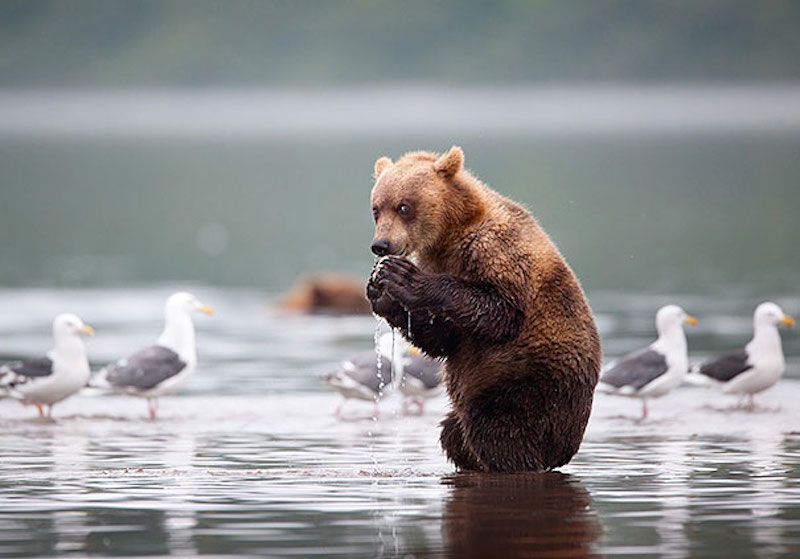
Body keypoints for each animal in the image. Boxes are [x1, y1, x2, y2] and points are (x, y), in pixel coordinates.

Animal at [366, 146, 601, 473]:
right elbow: (444, 337)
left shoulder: (495, 250)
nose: (381, 245)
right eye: (376, 208)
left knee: (498, 429)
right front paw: (382, 291)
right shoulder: (438, 259)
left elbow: (498, 312)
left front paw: (404, 277)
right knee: (454, 433)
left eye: (404, 206)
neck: (449, 233)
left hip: (530, 379)